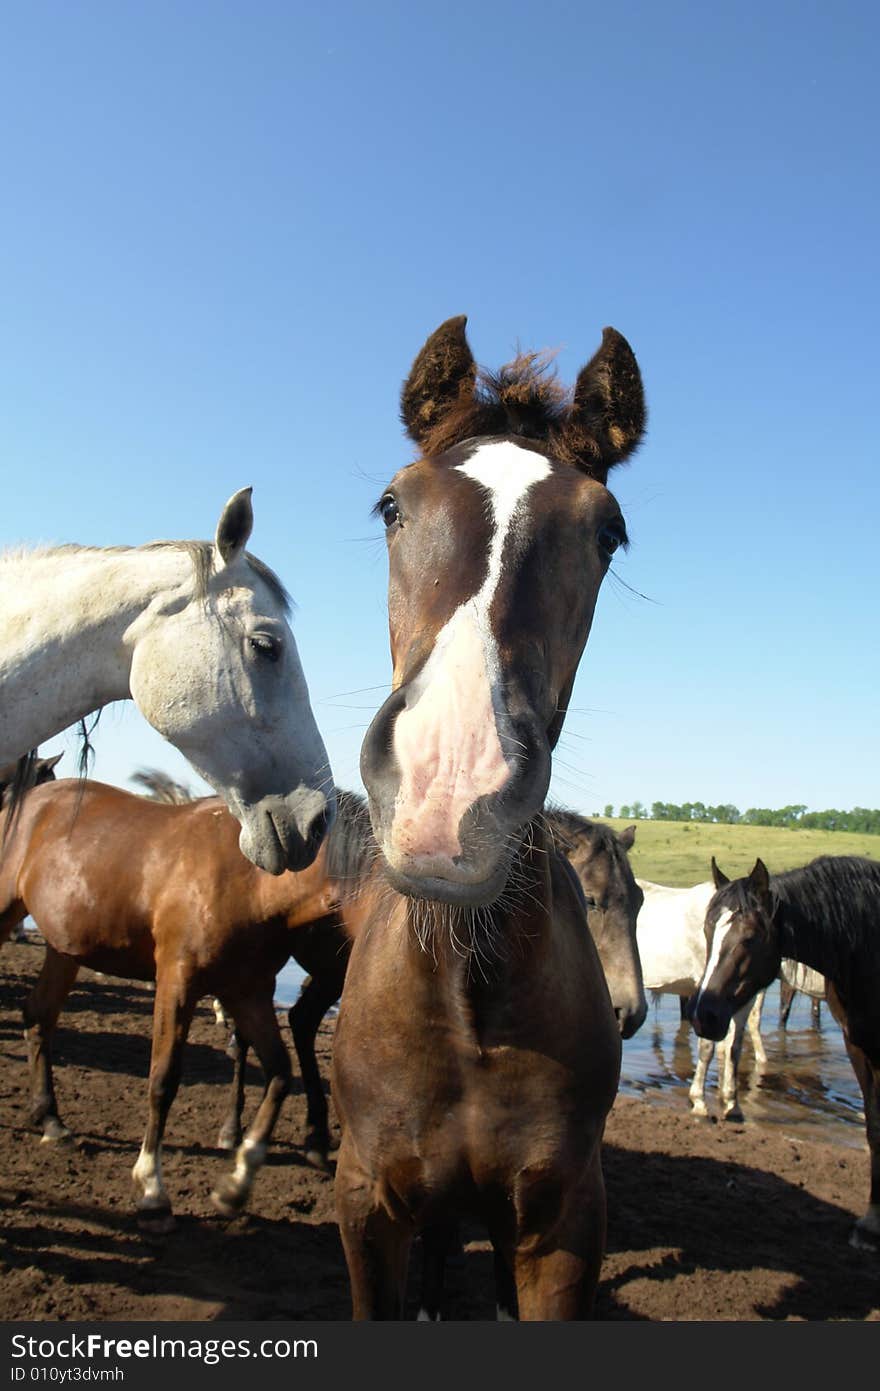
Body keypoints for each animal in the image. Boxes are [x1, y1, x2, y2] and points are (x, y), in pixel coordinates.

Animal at [689, 851, 878, 1257]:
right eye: (708, 931)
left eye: (749, 937)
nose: (702, 1014)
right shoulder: (858, 1045)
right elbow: (874, 1127)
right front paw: (872, 1224)